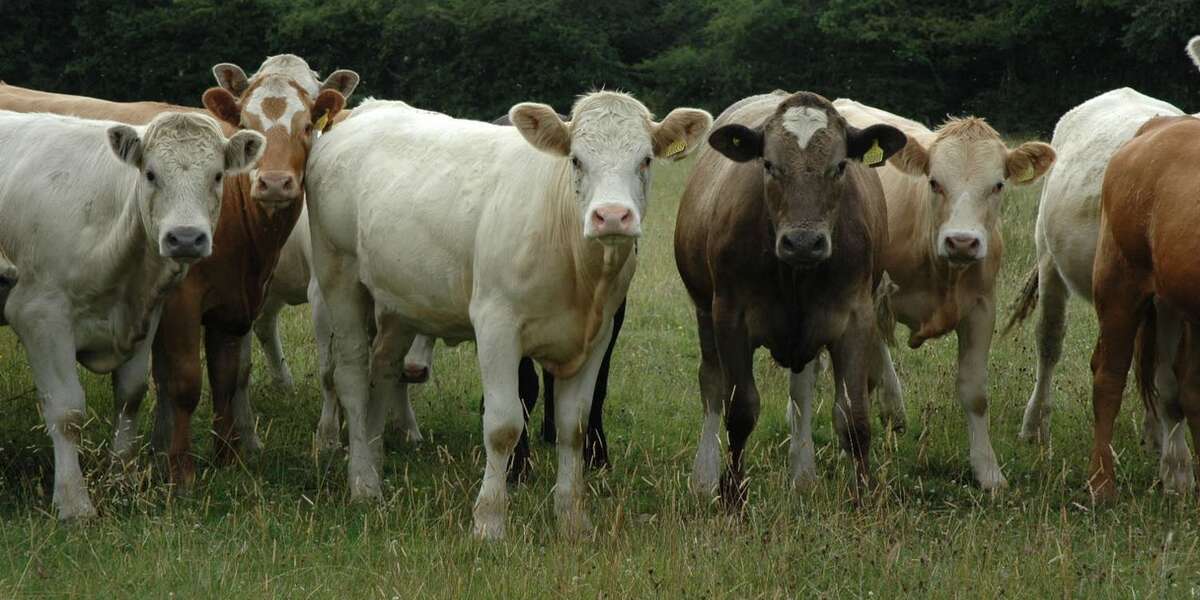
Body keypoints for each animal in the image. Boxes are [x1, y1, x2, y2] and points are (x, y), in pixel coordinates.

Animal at [0, 110, 263, 519]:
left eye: (218, 175)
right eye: (151, 174)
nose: (185, 238)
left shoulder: (148, 314)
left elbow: (131, 395)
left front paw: (121, 481)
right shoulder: (41, 315)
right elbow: (67, 411)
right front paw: (74, 503)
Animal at [305, 92, 711, 539]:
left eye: (645, 160)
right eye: (576, 160)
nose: (612, 216)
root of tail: (368, 108)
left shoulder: (598, 335)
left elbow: (573, 427)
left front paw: (572, 519)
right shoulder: (496, 325)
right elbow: (503, 426)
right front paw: (489, 521)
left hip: (399, 300)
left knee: (384, 368)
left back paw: (374, 462)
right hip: (338, 274)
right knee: (351, 375)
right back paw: (363, 483)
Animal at [676, 91, 906, 502]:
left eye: (840, 165)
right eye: (769, 164)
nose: (802, 242)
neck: (795, 276)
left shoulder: (854, 318)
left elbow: (853, 415)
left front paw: (863, 496)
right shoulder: (730, 318)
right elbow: (740, 411)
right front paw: (732, 495)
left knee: (801, 393)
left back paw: (803, 475)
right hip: (703, 309)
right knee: (712, 386)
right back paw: (704, 478)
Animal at [822, 99, 1055, 492]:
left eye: (997, 185)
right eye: (934, 182)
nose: (961, 241)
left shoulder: (981, 308)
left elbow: (975, 392)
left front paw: (988, 472)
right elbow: (855, 382)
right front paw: (846, 450)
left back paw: (895, 410)